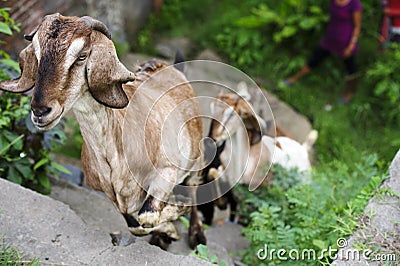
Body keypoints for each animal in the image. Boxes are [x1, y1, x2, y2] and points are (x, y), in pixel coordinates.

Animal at [0, 13, 206, 250]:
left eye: (82, 56)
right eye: (37, 53)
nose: (40, 111)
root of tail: (174, 69)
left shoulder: (167, 170)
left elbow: (147, 217)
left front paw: (180, 211)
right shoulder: (115, 197)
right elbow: (135, 224)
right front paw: (169, 230)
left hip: (196, 159)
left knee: (194, 187)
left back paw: (196, 234)